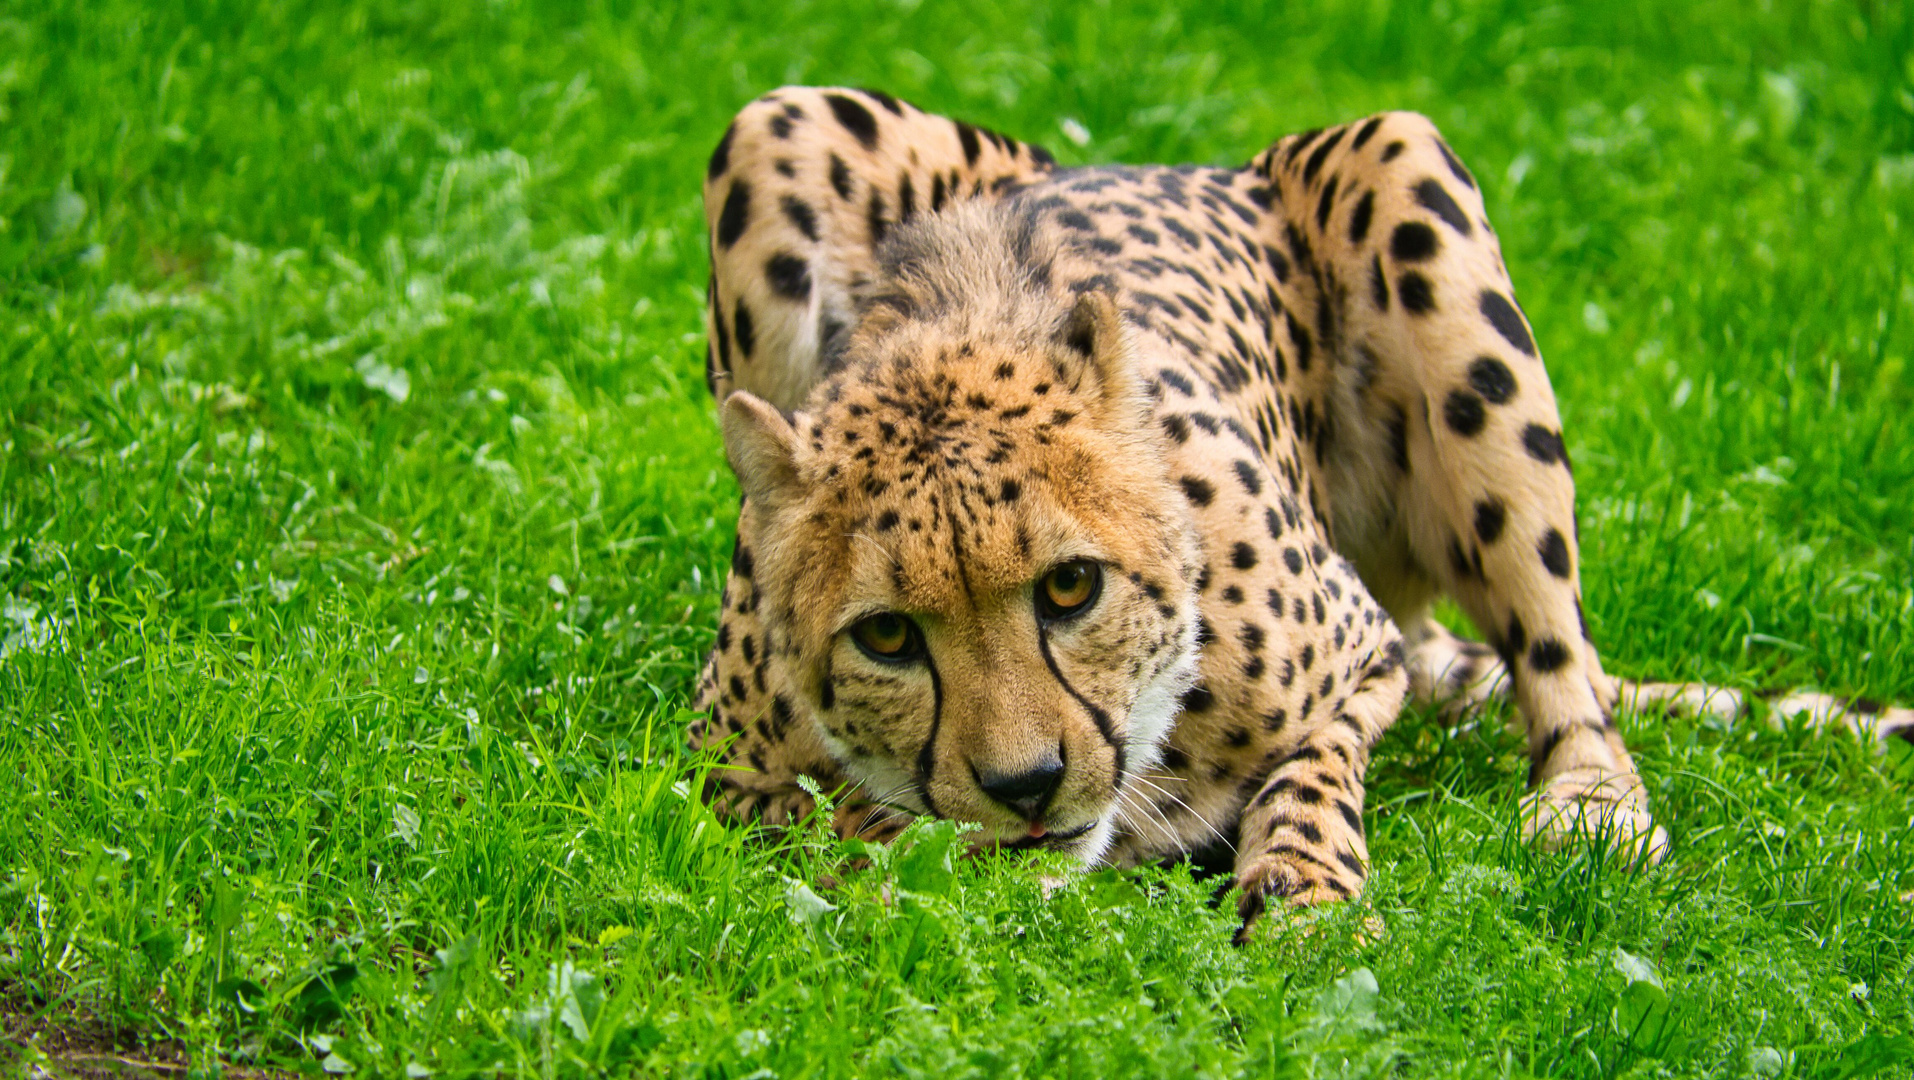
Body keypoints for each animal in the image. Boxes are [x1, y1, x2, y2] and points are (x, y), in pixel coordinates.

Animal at [681, 86, 1906, 938]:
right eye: (887, 636)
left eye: (1071, 586)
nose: (1025, 787)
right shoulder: (718, 780)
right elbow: (821, 819)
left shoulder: (1366, 659)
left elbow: (1313, 773)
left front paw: (1306, 895)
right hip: (774, 122)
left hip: (1404, 164)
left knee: (1560, 657)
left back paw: (1593, 805)